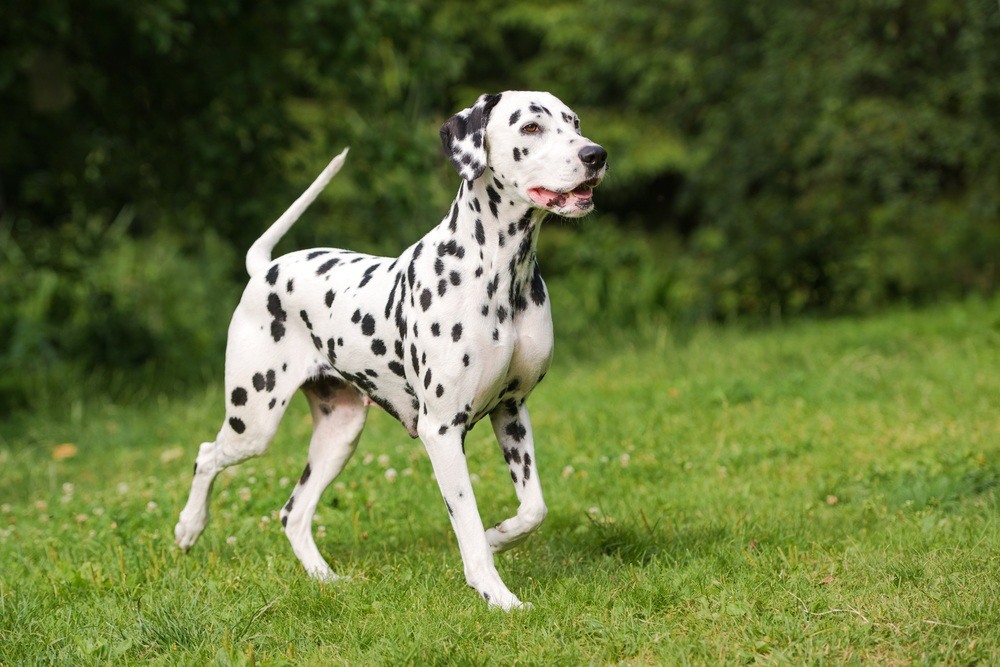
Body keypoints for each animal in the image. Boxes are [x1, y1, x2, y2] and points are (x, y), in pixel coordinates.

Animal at [175, 90, 604, 612]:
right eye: (530, 128)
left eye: (574, 122)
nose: (596, 155)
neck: (501, 274)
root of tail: (266, 269)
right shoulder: (443, 431)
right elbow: (467, 525)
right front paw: (497, 594)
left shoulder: (512, 410)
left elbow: (533, 508)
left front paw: (499, 534)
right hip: (252, 422)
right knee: (206, 456)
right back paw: (189, 528)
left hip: (339, 435)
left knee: (293, 512)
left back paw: (325, 579)